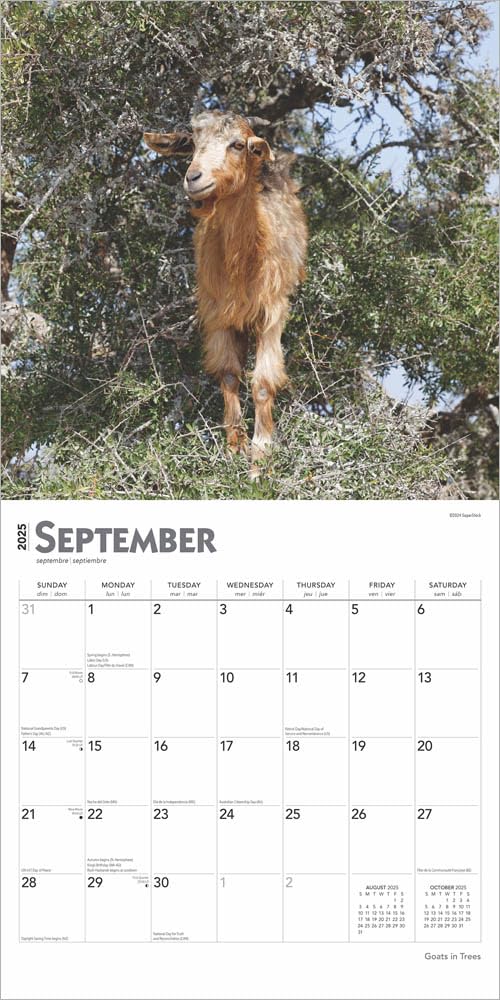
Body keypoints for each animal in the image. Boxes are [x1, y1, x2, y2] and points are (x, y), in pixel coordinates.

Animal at [144, 111, 308, 478]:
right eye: (192, 143)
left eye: (237, 145)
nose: (194, 178)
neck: (243, 261)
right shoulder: (217, 312)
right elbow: (230, 376)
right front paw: (235, 449)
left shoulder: (271, 312)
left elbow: (262, 382)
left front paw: (261, 458)